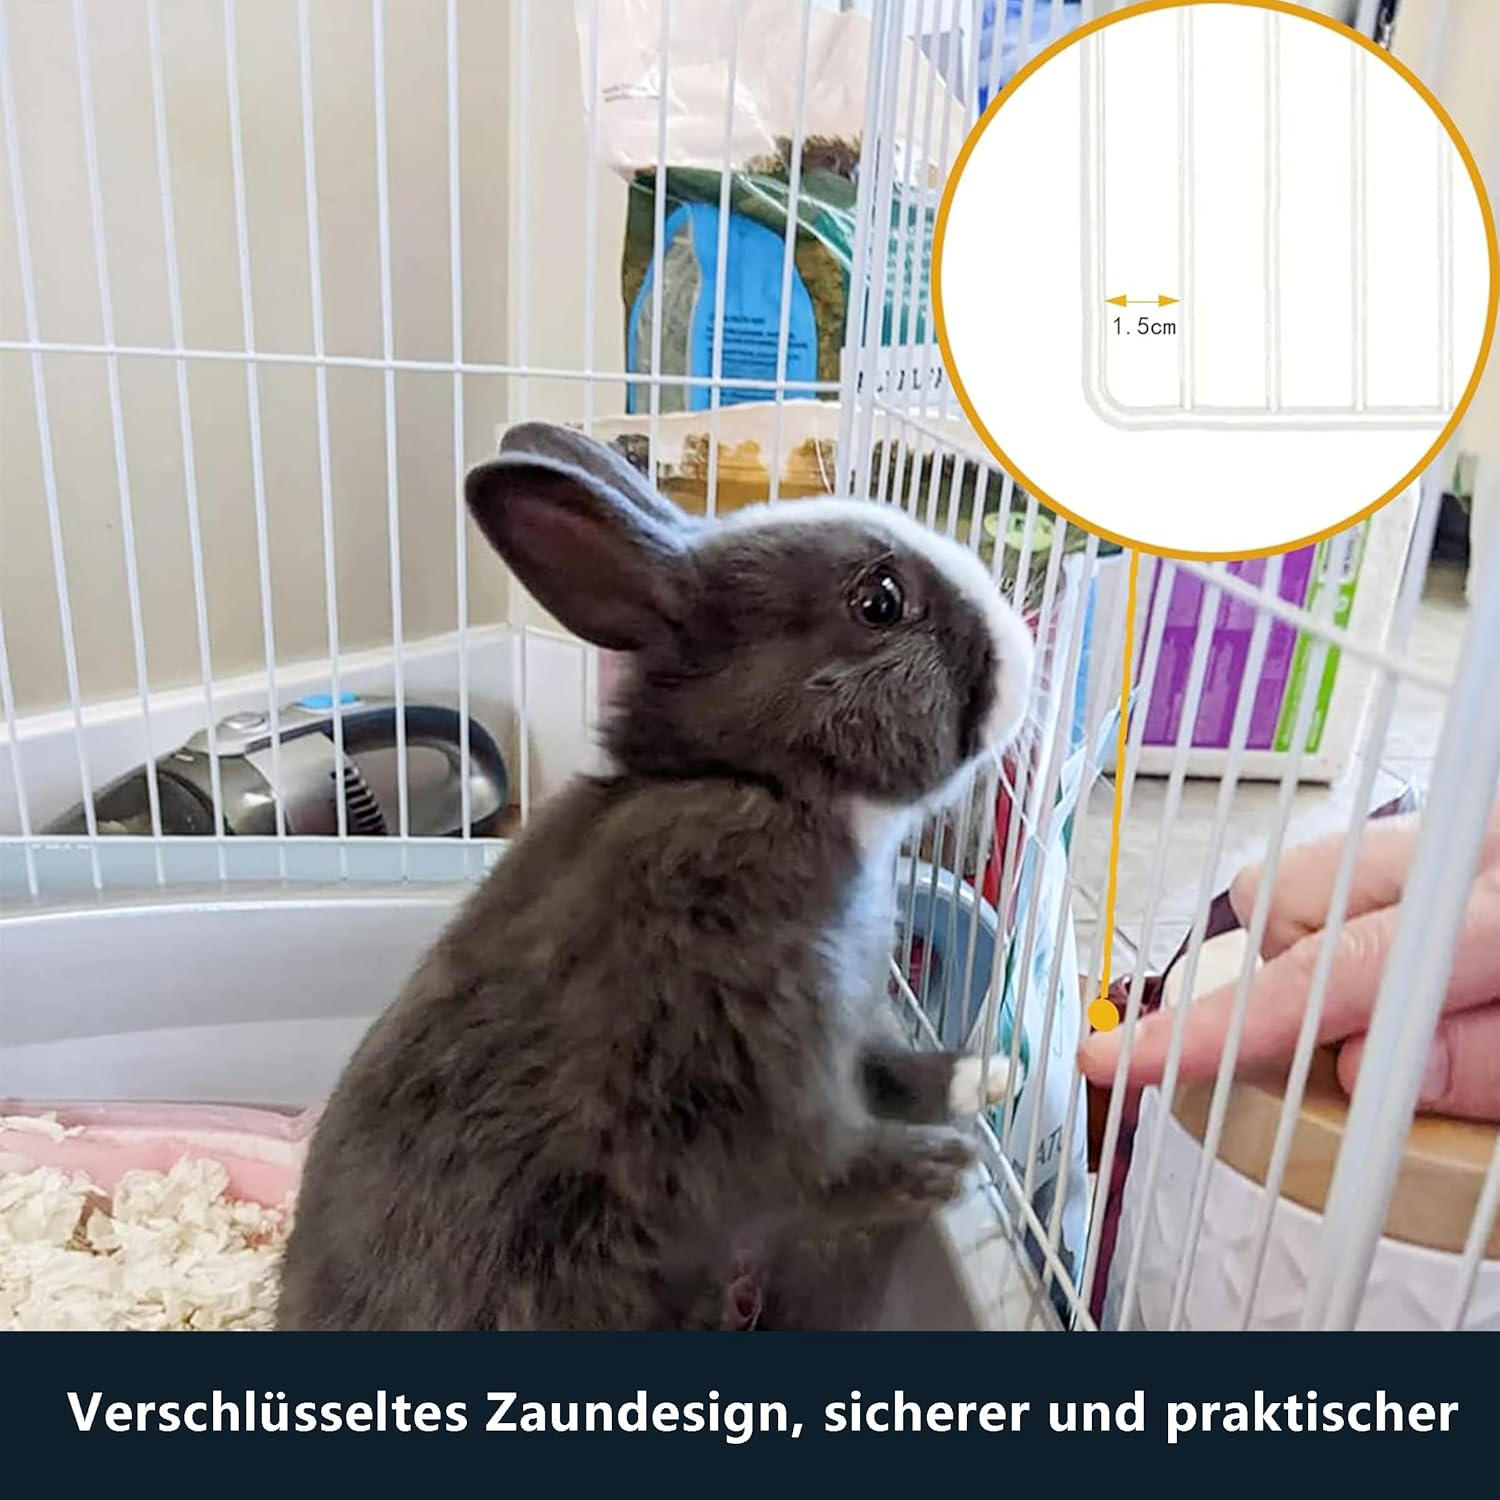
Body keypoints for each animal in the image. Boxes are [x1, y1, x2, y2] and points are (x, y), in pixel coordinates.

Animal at [275, 420, 1034, 1331]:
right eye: (880, 601)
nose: (1025, 646)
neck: (757, 782)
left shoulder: (853, 1021)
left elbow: (896, 1069)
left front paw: (989, 1077)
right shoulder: (757, 1065)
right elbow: (824, 1164)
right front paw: (942, 1166)